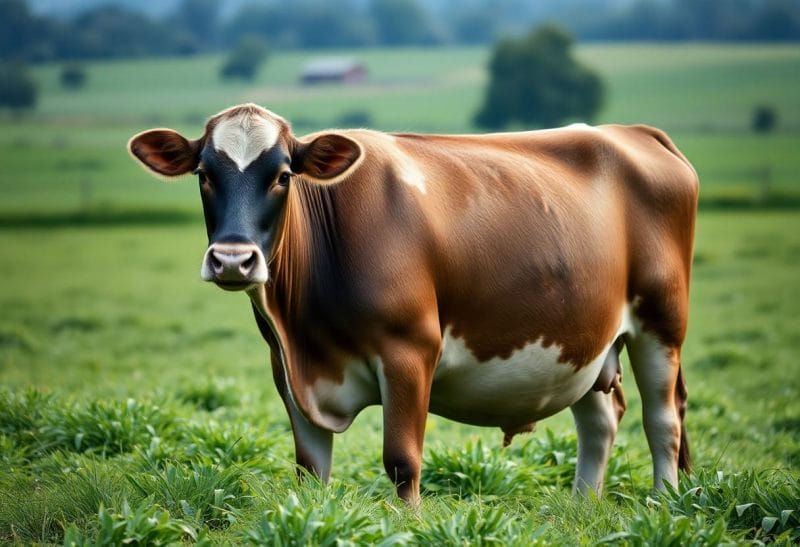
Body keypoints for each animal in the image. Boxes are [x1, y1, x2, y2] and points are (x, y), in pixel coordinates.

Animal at [128, 103, 698, 504]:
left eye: (283, 176)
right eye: (204, 174)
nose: (232, 259)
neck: (306, 334)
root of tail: (631, 131)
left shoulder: (410, 351)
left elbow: (402, 460)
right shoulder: (286, 367)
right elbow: (310, 469)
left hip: (661, 322)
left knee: (663, 419)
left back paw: (662, 503)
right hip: (585, 340)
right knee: (602, 417)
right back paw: (581, 507)